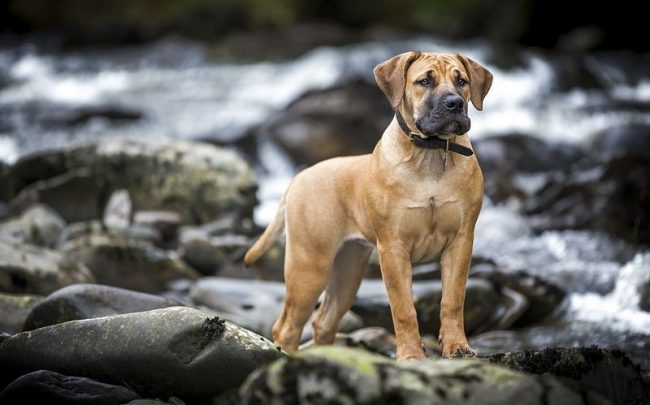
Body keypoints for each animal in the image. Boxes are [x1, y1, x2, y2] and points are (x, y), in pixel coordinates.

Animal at [244, 52, 492, 358]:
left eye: (462, 81)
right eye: (425, 81)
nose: (454, 103)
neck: (431, 154)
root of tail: (298, 177)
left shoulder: (460, 242)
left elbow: (453, 300)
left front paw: (457, 347)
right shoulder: (393, 249)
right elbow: (403, 308)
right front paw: (411, 354)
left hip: (348, 269)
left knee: (324, 321)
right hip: (309, 266)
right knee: (287, 327)